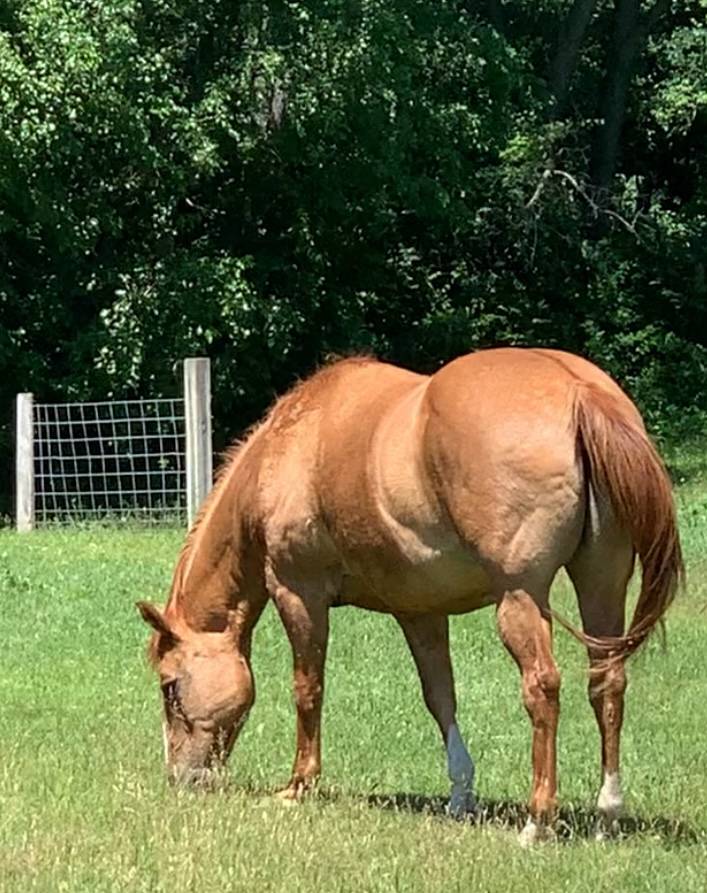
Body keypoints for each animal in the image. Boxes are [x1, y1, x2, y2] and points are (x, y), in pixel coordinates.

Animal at [137, 347, 682, 844]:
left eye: (170, 687)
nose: (182, 778)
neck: (290, 445)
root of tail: (578, 391)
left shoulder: (298, 593)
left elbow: (307, 689)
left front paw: (298, 785)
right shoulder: (420, 612)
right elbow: (440, 696)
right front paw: (461, 795)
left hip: (520, 597)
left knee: (543, 687)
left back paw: (537, 821)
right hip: (602, 582)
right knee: (607, 682)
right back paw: (607, 814)